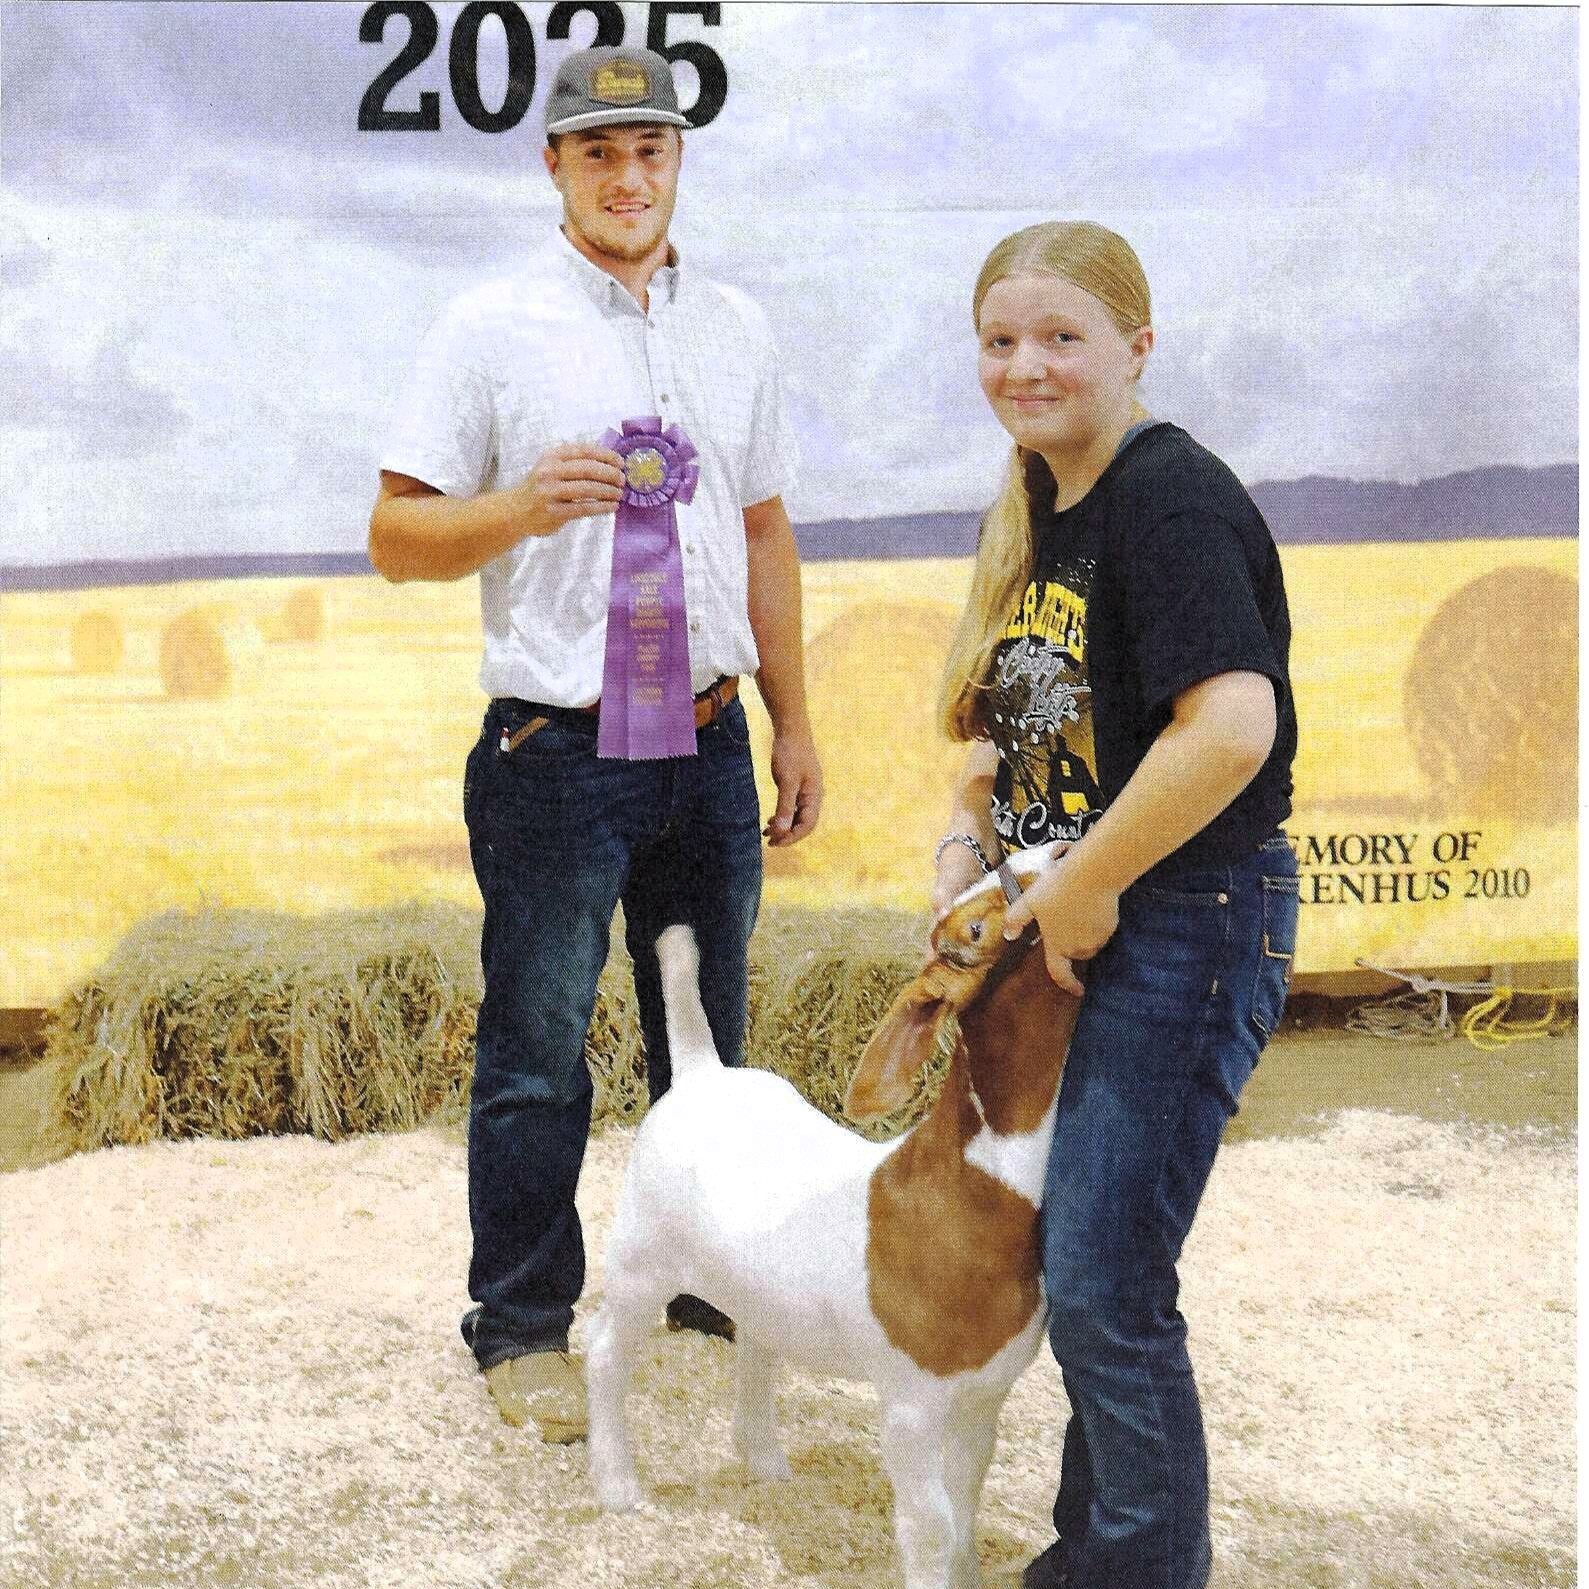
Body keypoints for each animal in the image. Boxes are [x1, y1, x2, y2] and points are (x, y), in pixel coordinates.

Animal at [586, 841, 1079, 1589]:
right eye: (972, 931)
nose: (1057, 847)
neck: (966, 1186)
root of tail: (702, 1074)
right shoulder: (910, 1407)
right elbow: (931, 1526)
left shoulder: (984, 1396)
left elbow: (966, 1502)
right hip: (641, 1258)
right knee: (605, 1353)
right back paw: (617, 1486)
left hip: (757, 1287)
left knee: (755, 1343)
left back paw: (765, 1462)